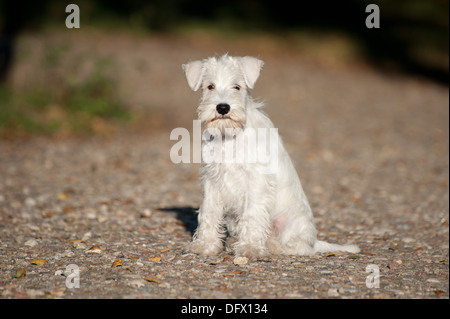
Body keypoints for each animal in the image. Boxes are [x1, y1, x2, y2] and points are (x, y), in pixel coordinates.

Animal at [181, 54, 360, 260]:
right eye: (210, 86)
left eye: (237, 86)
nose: (223, 108)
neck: (230, 135)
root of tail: (314, 243)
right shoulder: (212, 180)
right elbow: (209, 212)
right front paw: (206, 245)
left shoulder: (255, 181)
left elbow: (252, 214)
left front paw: (250, 248)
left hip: (290, 225)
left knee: (295, 246)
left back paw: (270, 246)